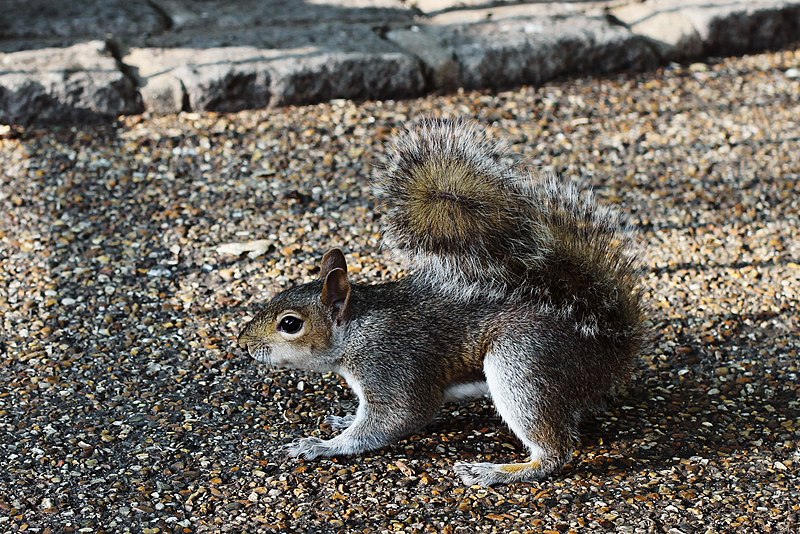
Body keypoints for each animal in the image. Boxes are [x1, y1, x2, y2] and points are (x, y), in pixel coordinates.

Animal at [239, 119, 648, 488]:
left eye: (290, 324)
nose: (244, 345)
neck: (357, 329)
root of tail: (611, 348)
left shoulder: (391, 365)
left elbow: (397, 418)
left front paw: (321, 446)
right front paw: (342, 419)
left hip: (522, 363)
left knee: (554, 451)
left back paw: (497, 472)